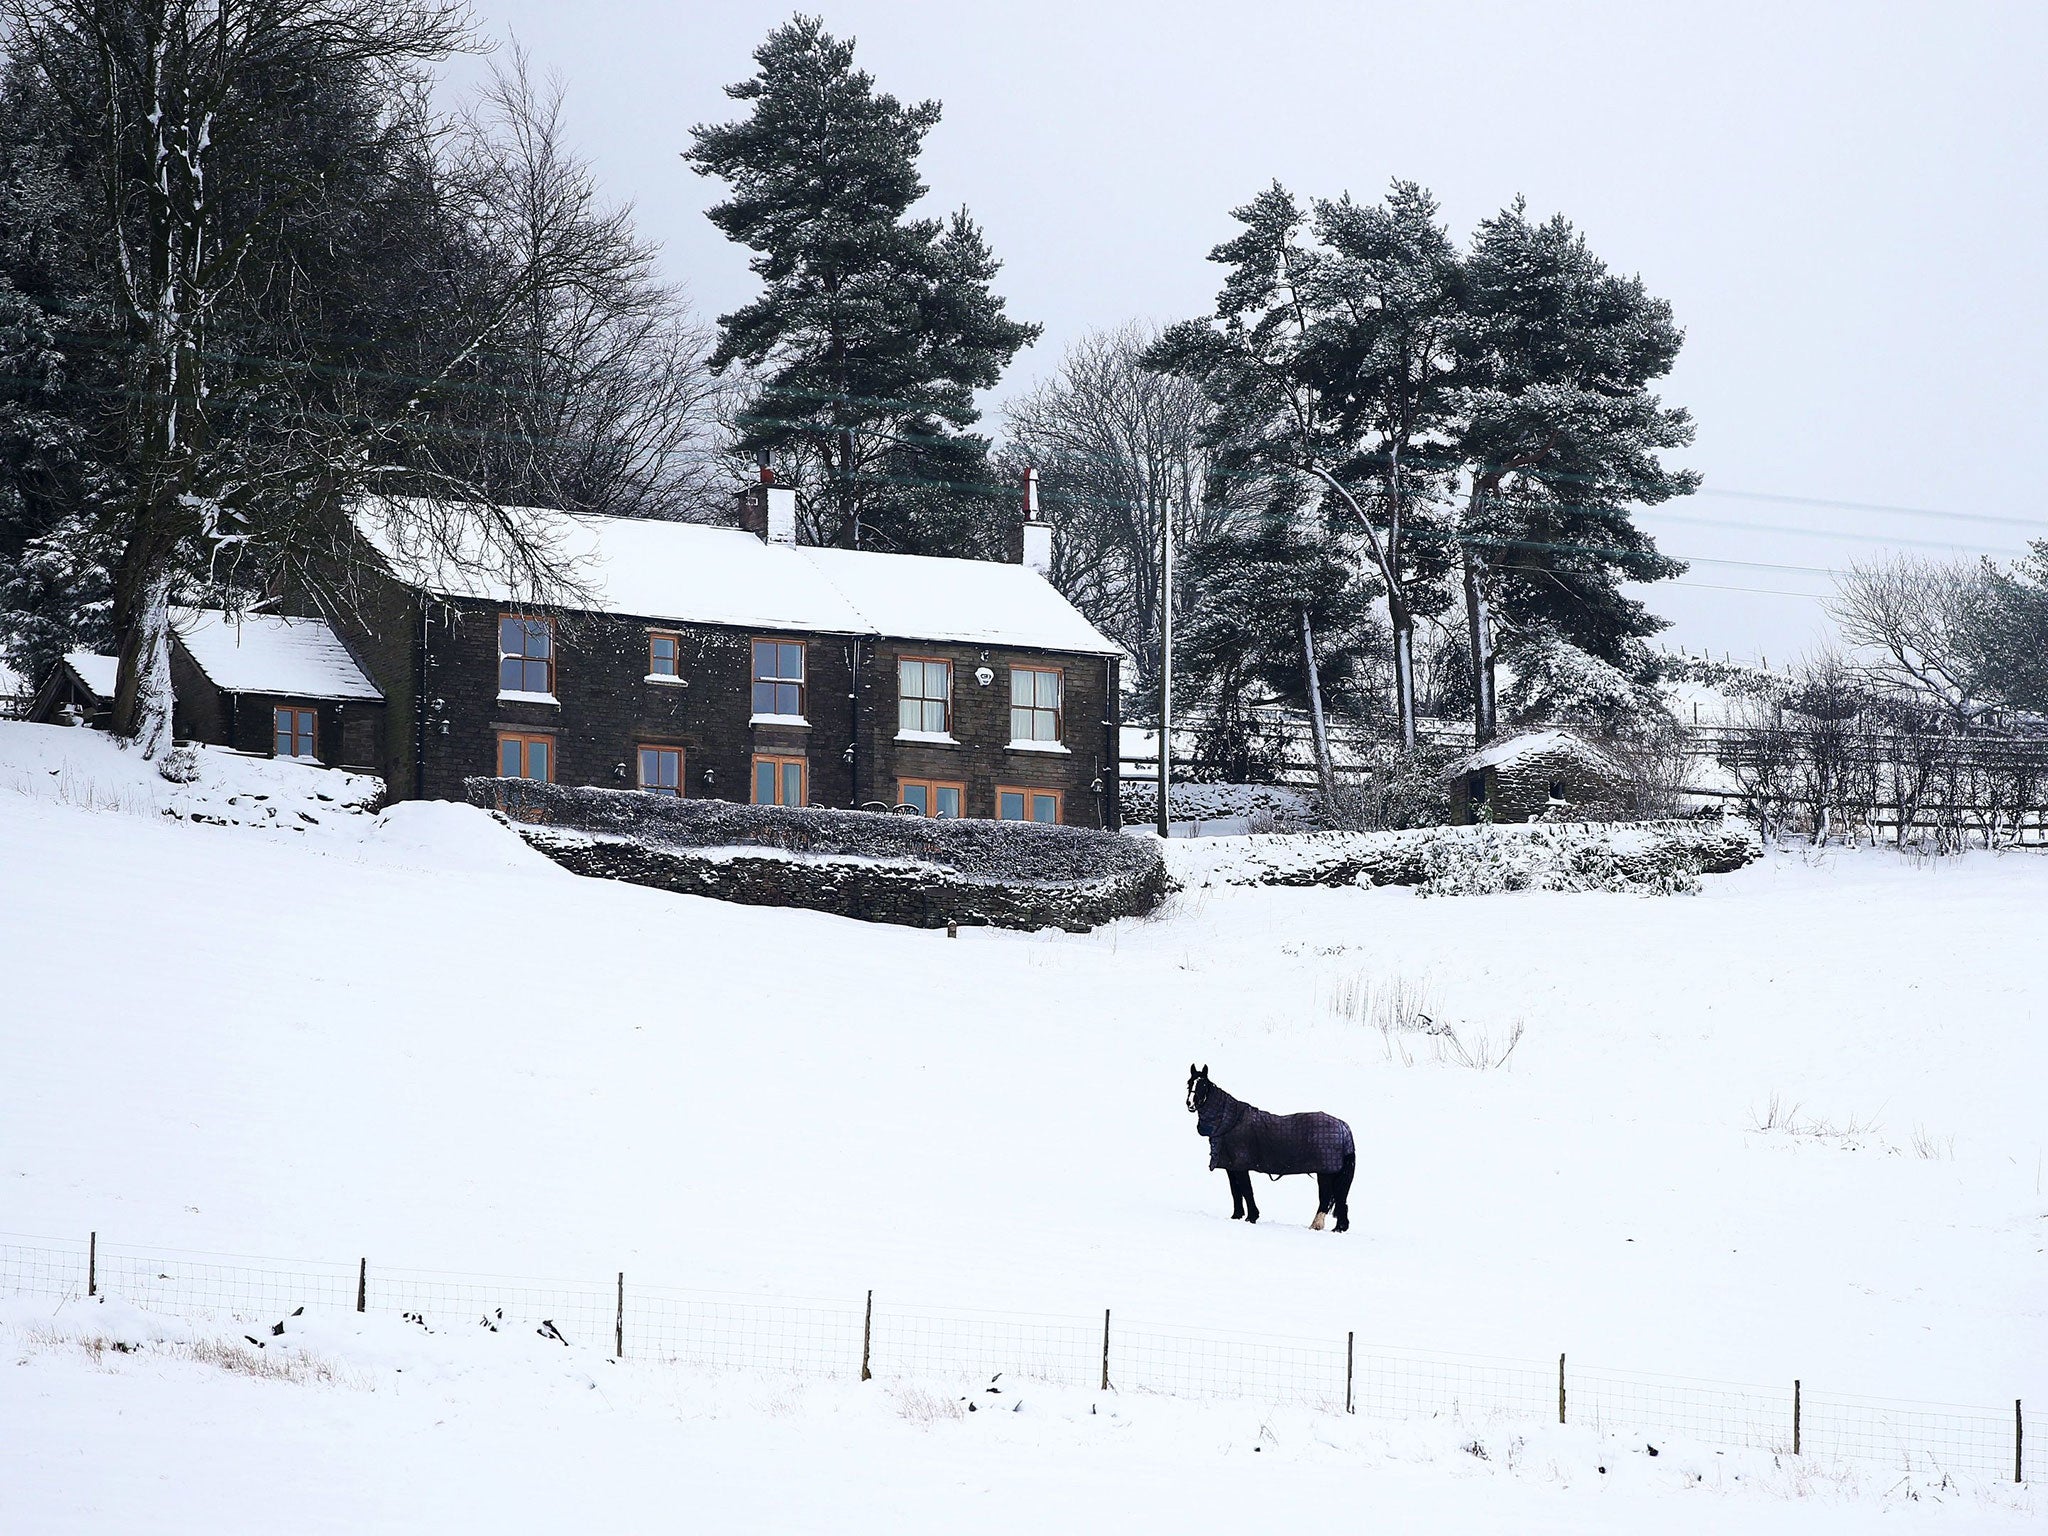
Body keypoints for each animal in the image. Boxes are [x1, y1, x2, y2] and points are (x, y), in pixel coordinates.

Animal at [1196, 1064, 1351, 1236]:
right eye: (1190, 1084)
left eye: (1203, 1085)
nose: (1191, 1104)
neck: (1231, 1122)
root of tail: (1343, 1127)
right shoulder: (1231, 1166)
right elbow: (1235, 1190)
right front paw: (1237, 1216)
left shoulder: (1240, 1166)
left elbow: (1246, 1189)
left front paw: (1252, 1217)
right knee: (1341, 1199)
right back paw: (1339, 1228)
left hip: (1325, 1173)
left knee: (1325, 1197)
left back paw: (1316, 1226)